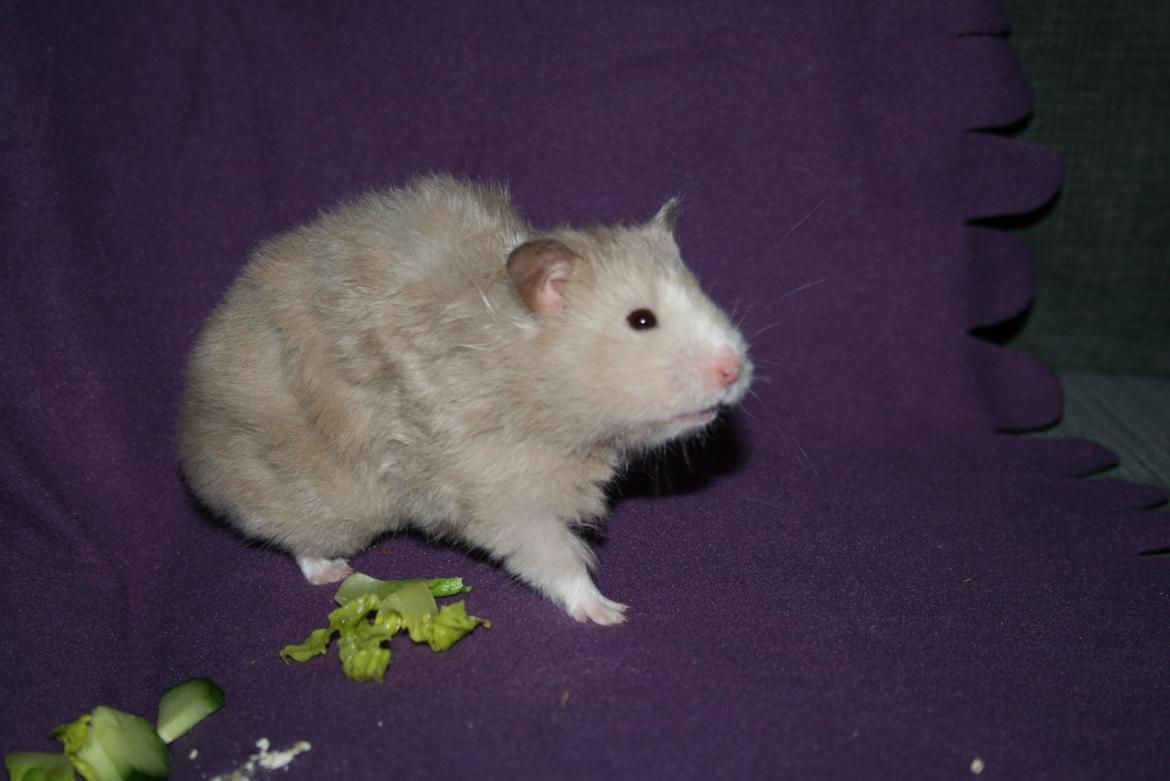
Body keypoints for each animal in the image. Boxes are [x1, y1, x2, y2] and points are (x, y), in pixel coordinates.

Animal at [178, 175, 751, 625]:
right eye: (641, 320)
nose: (735, 369)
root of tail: (190, 447)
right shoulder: (499, 489)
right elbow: (555, 558)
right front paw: (611, 613)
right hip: (316, 494)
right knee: (295, 536)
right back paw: (333, 571)